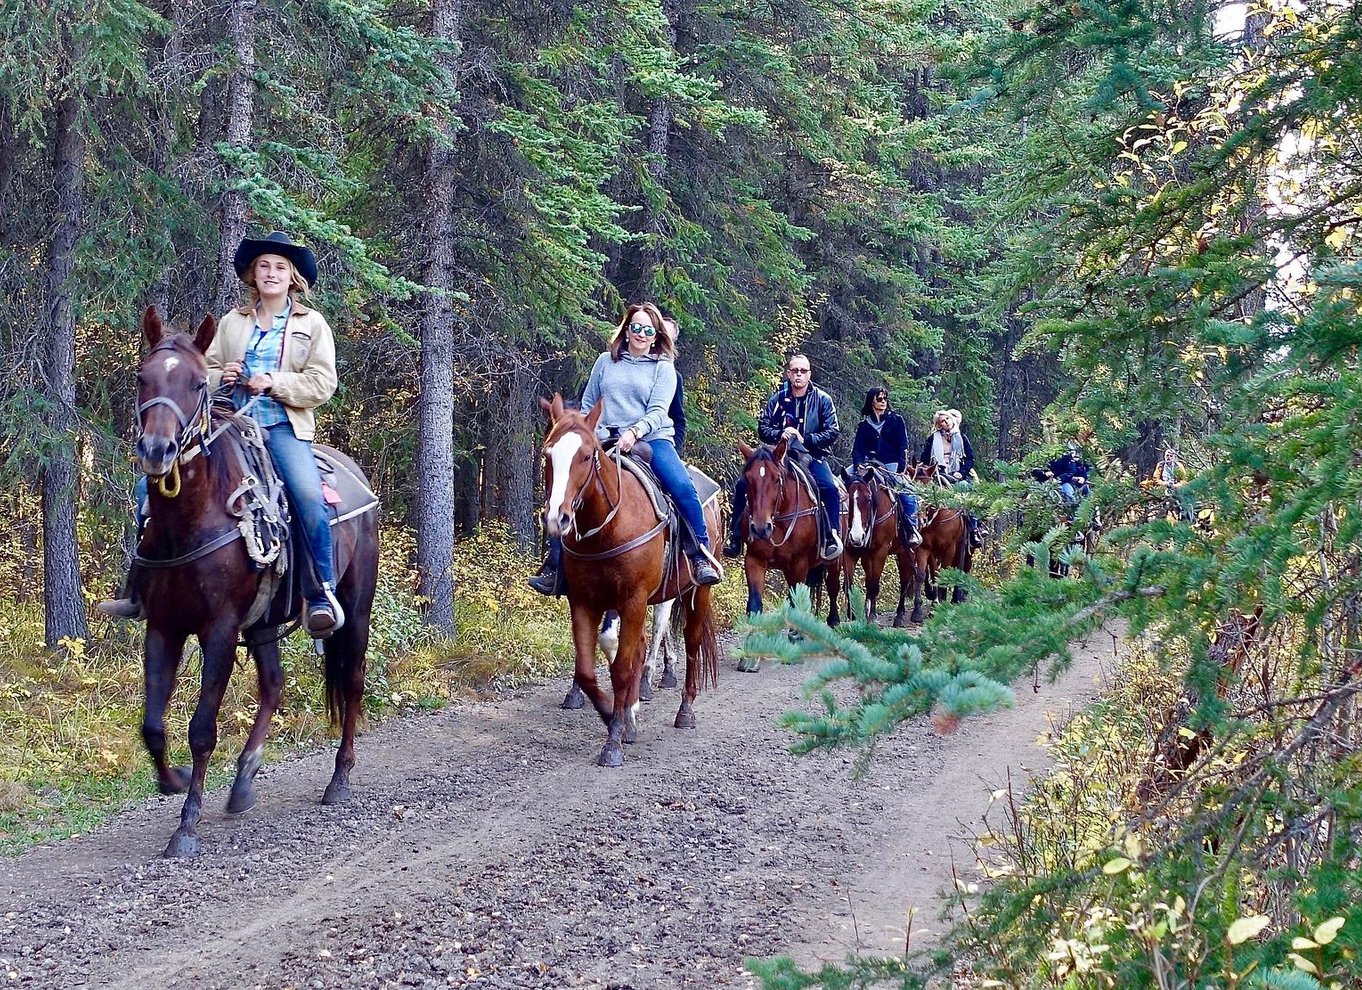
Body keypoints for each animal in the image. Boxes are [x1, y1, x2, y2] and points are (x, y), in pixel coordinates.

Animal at [133, 310, 378, 860]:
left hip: (355, 606)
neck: (191, 519)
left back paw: (340, 779)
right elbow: (153, 726)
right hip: (264, 622)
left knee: (352, 681)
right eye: (143, 378)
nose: (157, 451)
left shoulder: (221, 629)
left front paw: (186, 827)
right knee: (274, 684)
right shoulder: (163, 626)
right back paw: (244, 781)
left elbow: (202, 728)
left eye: (197, 384)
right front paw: (173, 779)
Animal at [536, 394, 724, 768]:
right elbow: (588, 669)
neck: (608, 526)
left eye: (585, 455)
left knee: (691, 642)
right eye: (548, 455)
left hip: (695, 592)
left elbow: (622, 667)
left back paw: (685, 711)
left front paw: (613, 741)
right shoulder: (585, 601)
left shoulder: (633, 599)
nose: (556, 518)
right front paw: (615, 714)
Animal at [735, 438, 838, 626]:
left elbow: (796, 606)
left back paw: (833, 620)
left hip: (835, 562)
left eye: (777, 479)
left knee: (833, 587)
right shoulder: (754, 560)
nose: (760, 528)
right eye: (748, 478)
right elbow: (755, 605)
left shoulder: (799, 564)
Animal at [844, 465, 909, 626]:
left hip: (907, 551)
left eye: (868, 499)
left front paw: (872, 616)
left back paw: (900, 615)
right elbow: (849, 585)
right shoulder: (850, 552)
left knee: (906, 579)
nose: (856, 536)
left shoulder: (881, 551)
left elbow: (874, 584)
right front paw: (852, 614)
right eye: (848, 499)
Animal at [898, 465, 975, 623]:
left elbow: (945, 572)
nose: (918, 517)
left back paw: (957, 597)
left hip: (963, 547)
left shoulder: (949, 548)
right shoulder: (926, 548)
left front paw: (941, 602)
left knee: (963, 566)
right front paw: (919, 610)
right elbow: (924, 574)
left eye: (928, 488)